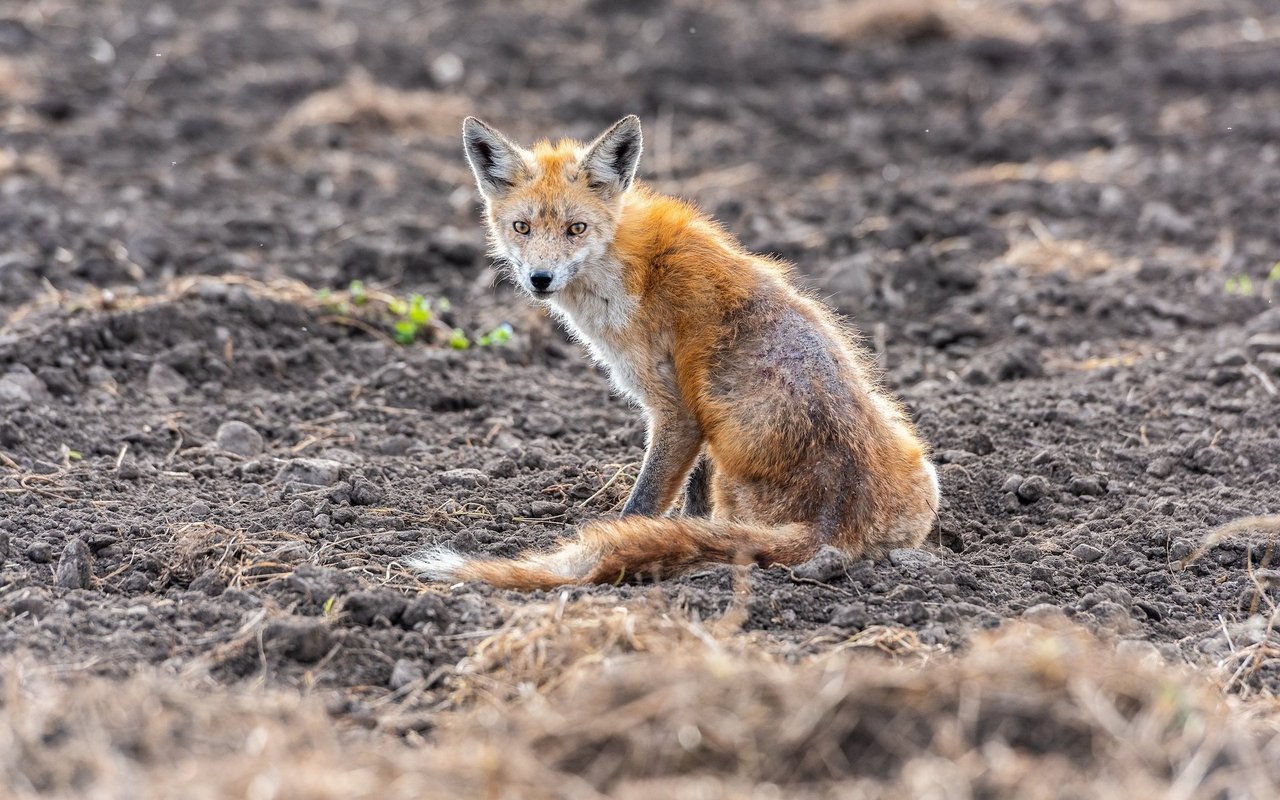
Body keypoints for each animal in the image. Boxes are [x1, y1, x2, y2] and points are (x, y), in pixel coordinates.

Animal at [409, 115, 940, 591]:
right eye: (522, 227)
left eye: (576, 229)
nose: (540, 279)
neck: (631, 268)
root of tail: (832, 523)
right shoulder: (699, 422)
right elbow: (692, 499)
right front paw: (681, 528)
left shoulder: (677, 409)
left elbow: (644, 503)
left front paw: (626, 534)